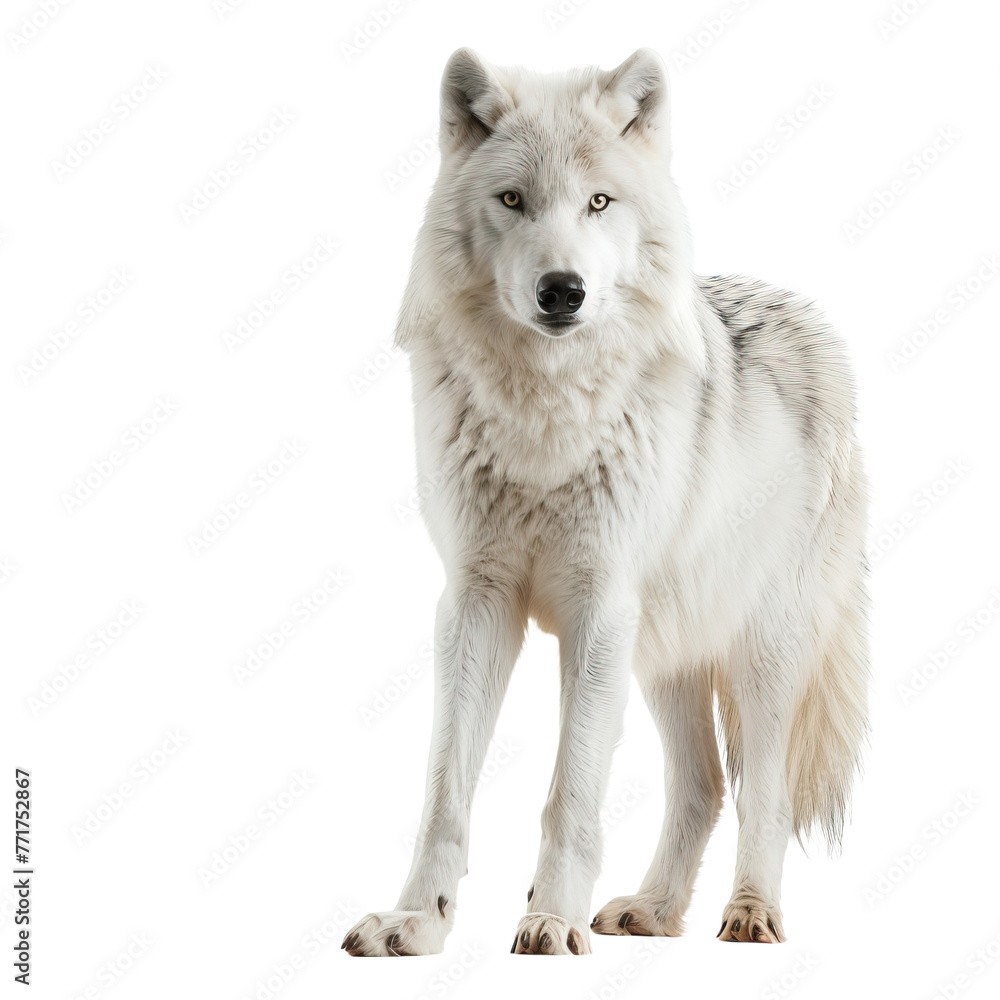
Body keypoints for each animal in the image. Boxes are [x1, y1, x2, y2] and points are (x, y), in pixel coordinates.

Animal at [342, 48, 869, 956]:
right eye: (512, 200)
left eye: (598, 201)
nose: (563, 290)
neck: (543, 422)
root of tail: (813, 323)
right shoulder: (476, 601)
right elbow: (445, 792)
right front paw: (418, 922)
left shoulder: (598, 607)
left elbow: (572, 791)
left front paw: (548, 919)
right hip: (663, 653)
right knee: (702, 785)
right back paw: (653, 912)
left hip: (761, 651)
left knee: (762, 791)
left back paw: (750, 912)